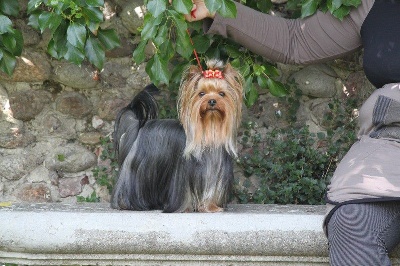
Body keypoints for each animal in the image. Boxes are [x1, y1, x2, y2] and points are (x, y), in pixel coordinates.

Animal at [111, 59, 245, 212]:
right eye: (201, 93)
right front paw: (185, 208)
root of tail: (139, 126)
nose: (212, 101)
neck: (210, 128)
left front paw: (211, 206)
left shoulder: (214, 170)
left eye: (222, 94)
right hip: (138, 169)